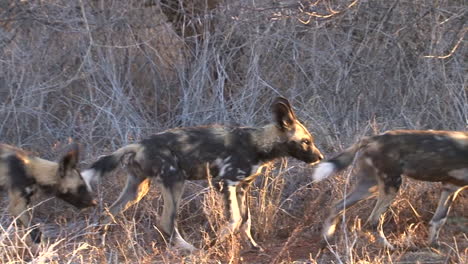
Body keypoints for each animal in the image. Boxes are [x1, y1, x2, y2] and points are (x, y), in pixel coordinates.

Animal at [83, 97, 326, 252]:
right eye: (306, 141)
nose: (320, 157)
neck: (258, 144)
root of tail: (138, 145)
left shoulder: (243, 186)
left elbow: (246, 220)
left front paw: (252, 245)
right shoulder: (225, 182)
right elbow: (234, 219)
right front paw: (214, 244)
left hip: (137, 190)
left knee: (106, 215)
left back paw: (99, 245)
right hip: (175, 182)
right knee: (166, 223)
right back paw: (191, 250)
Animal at [310, 130, 468, 250]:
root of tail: (372, 138)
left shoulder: (450, 187)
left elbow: (439, 220)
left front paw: (434, 245)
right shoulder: (451, 187)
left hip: (369, 186)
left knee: (337, 206)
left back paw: (326, 239)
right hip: (392, 185)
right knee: (373, 220)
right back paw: (389, 247)